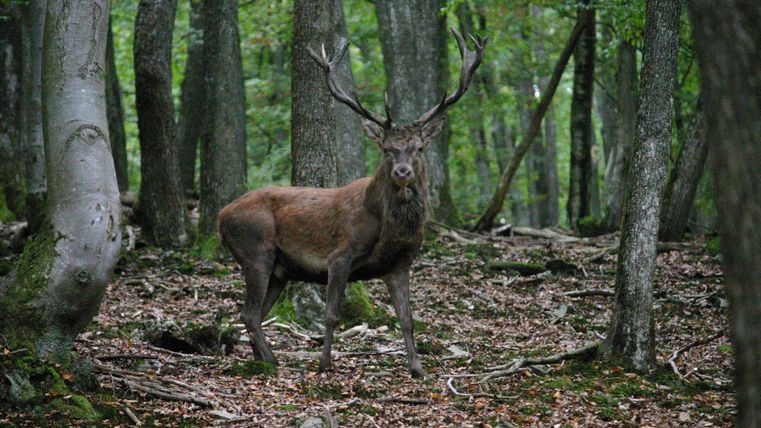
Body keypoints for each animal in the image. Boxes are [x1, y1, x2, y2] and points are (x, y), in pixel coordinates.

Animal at [218, 29, 486, 378]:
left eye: (419, 147)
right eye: (386, 148)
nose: (402, 172)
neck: (388, 228)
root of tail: (220, 216)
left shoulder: (400, 263)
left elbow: (407, 319)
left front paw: (418, 369)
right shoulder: (339, 256)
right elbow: (331, 315)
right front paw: (324, 364)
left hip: (279, 269)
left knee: (256, 313)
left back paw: (263, 358)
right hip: (255, 250)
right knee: (248, 313)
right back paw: (271, 361)